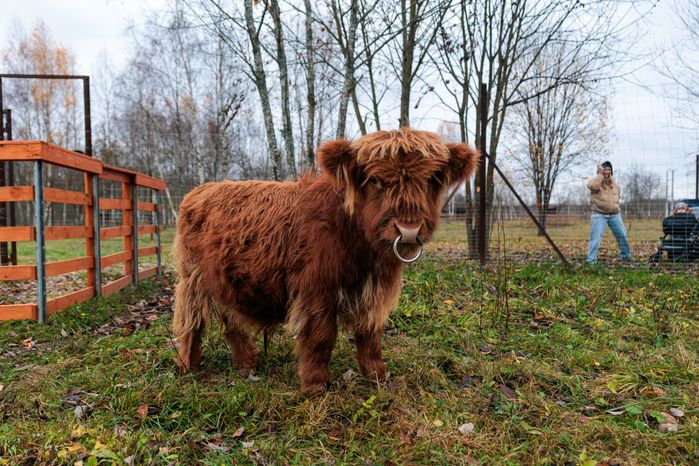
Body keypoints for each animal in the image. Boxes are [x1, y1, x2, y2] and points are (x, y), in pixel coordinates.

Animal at [173, 128, 479, 394]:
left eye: (432, 179)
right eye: (375, 179)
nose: (408, 230)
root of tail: (199, 190)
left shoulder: (373, 293)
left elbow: (369, 335)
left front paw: (377, 377)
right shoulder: (316, 290)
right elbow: (320, 337)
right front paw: (314, 385)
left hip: (224, 280)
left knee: (230, 321)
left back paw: (247, 364)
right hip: (192, 278)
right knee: (191, 322)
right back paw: (188, 365)